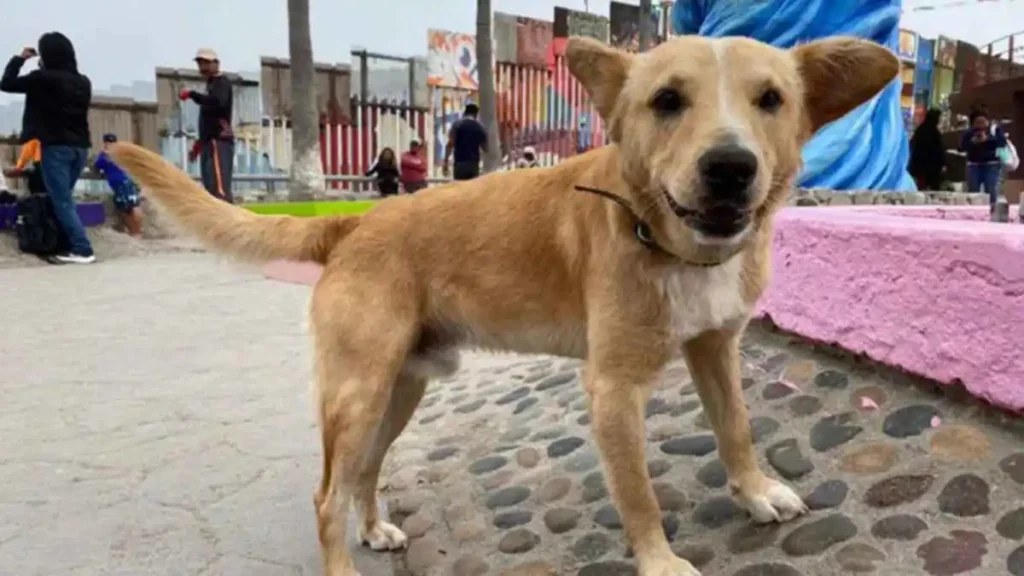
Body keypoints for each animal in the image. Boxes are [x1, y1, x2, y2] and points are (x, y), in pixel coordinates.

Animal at [110, 33, 897, 569]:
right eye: (667, 101)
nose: (731, 167)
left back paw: (374, 527)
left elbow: (736, 429)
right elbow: (639, 494)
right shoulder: (613, 390)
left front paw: (755, 490)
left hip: (399, 392)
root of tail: (357, 221)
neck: (666, 240)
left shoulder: (715, 349)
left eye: (772, 101)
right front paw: (662, 561)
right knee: (325, 493)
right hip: (357, 392)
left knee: (363, 472)